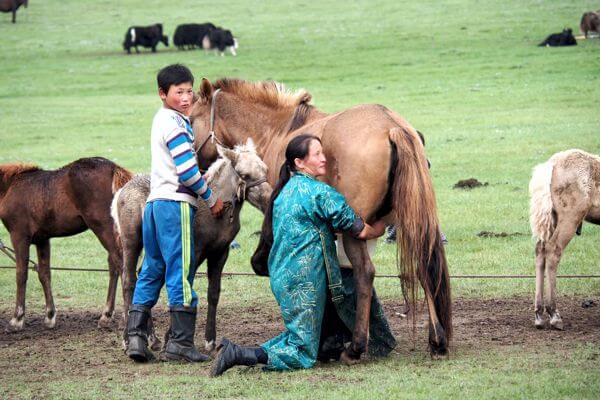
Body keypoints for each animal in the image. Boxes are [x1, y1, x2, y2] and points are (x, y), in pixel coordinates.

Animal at [0, 158, 132, 330]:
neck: (10, 185)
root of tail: (113, 168)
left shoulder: (19, 235)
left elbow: (21, 274)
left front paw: (17, 319)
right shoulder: (42, 239)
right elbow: (44, 274)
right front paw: (50, 316)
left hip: (103, 227)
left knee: (121, 264)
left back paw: (126, 318)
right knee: (114, 264)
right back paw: (106, 315)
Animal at [111, 141, 270, 350]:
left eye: (265, 169)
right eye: (245, 175)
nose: (269, 200)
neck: (217, 212)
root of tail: (121, 191)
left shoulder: (220, 253)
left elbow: (213, 293)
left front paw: (210, 340)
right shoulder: (193, 251)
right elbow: (185, 287)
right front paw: (172, 337)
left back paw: (151, 337)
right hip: (131, 241)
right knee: (128, 281)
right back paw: (128, 338)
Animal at [528, 148, 600, 330]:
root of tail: (552, 164)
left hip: (552, 219)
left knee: (540, 251)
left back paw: (539, 315)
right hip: (570, 218)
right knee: (553, 250)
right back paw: (554, 314)